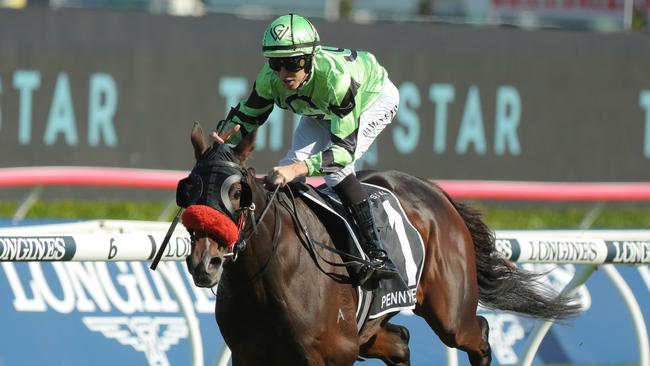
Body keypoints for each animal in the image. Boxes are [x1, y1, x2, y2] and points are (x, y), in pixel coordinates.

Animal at [178, 123, 576, 366]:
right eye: (189, 188)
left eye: (237, 192)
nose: (204, 263)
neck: (267, 276)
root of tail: (435, 191)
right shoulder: (249, 354)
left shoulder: (333, 355)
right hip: (371, 327)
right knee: (400, 340)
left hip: (450, 313)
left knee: (478, 332)